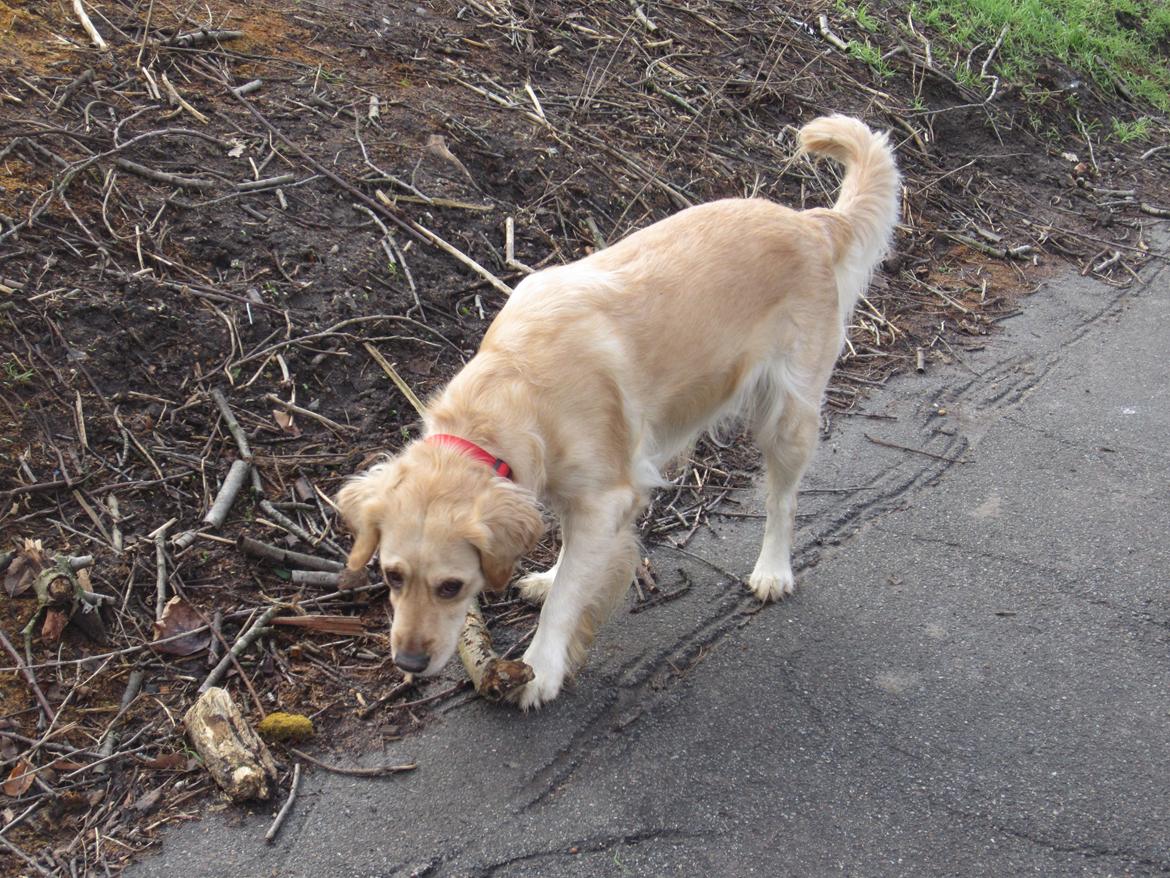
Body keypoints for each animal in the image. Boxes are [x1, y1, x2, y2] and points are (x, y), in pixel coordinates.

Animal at [334, 115, 898, 707]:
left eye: (452, 586)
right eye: (392, 576)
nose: (409, 663)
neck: (514, 388)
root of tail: (812, 222)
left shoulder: (606, 496)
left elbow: (568, 598)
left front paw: (541, 667)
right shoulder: (578, 492)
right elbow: (570, 560)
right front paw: (550, 577)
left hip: (787, 416)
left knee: (782, 501)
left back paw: (773, 570)